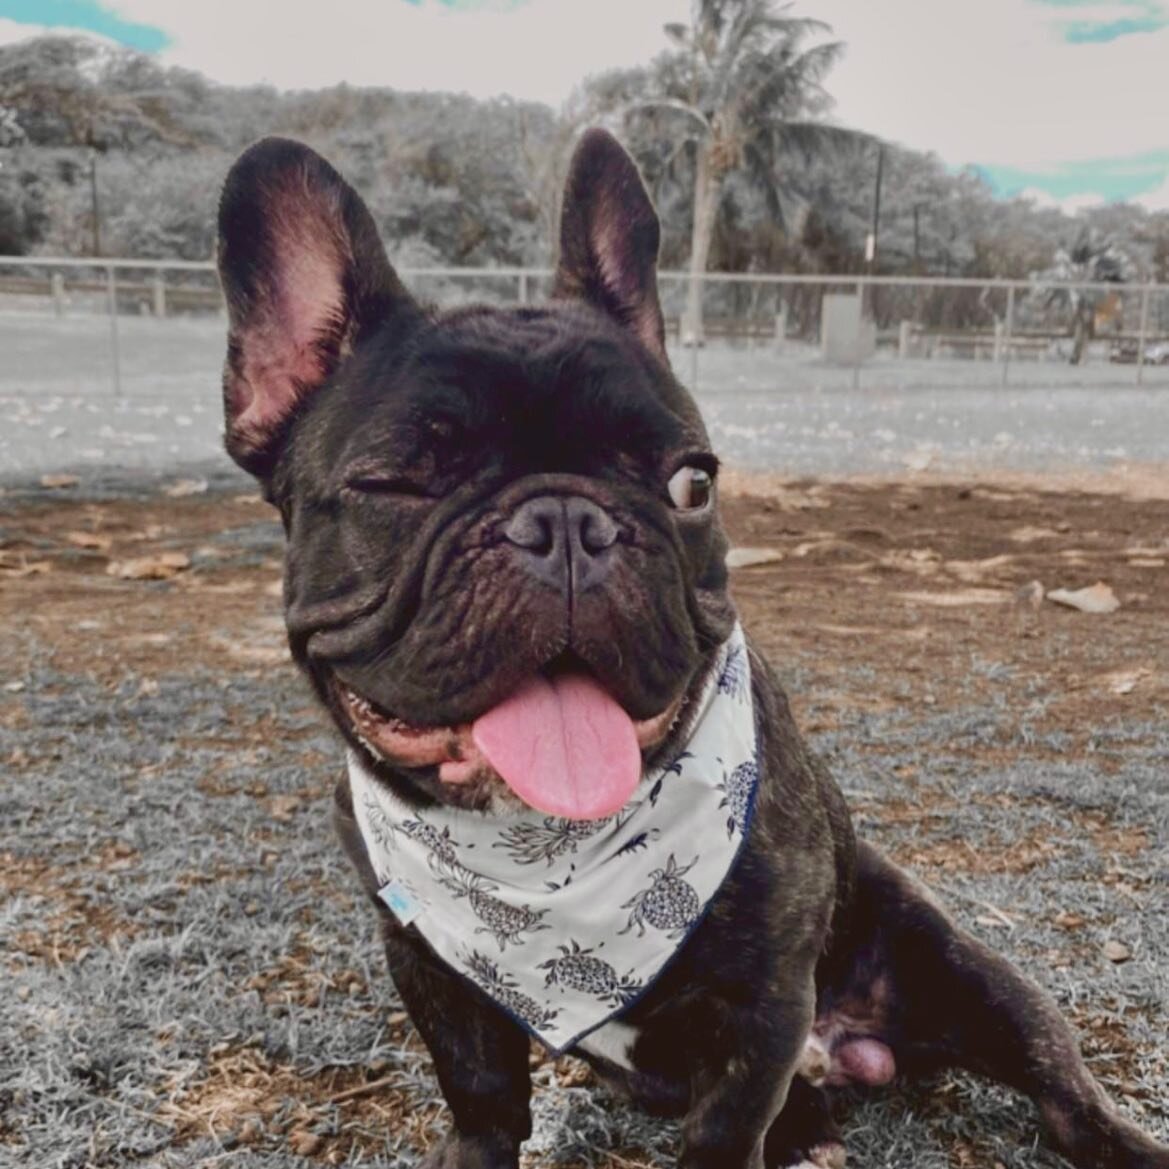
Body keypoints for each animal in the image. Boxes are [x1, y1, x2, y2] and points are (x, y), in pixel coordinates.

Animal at [215, 130, 1164, 1169]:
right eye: (396, 484)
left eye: (690, 483)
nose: (566, 521)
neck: (547, 864)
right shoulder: (429, 965)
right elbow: (481, 1095)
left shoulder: (764, 1001)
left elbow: (722, 1127)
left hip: (961, 968)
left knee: (1059, 1089)